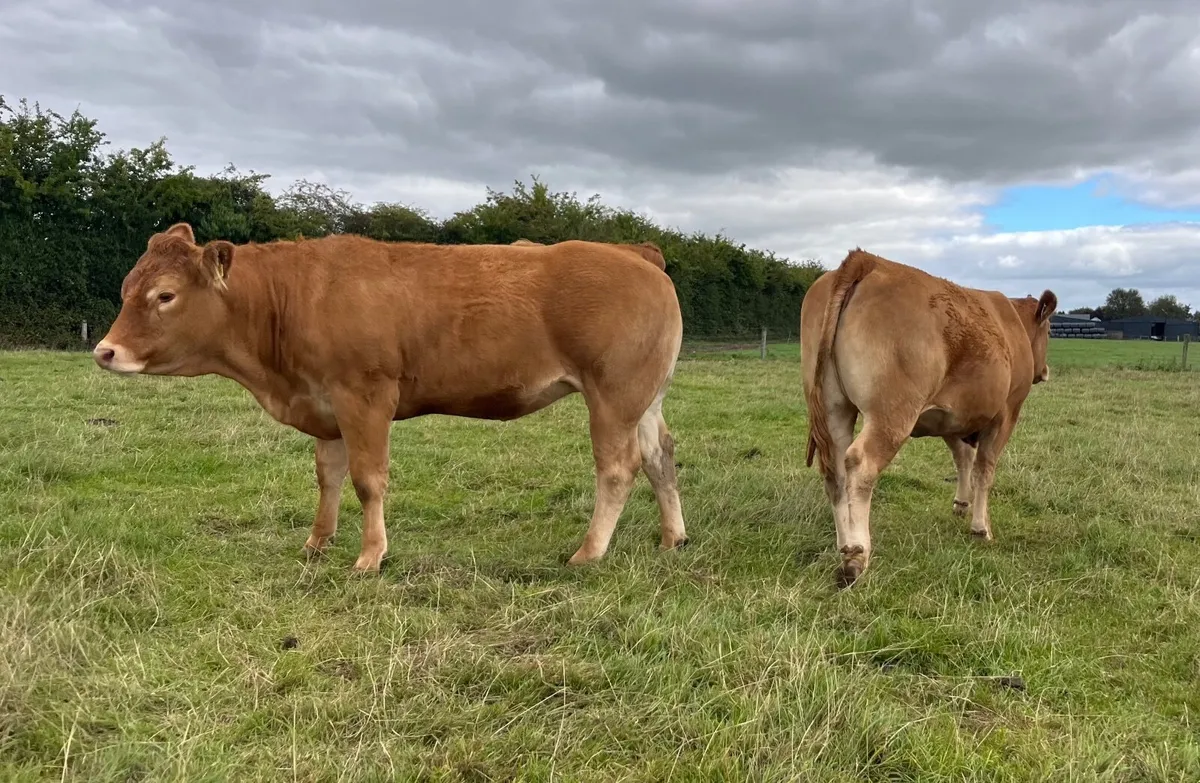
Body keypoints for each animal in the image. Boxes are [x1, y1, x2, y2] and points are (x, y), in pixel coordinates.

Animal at [92, 223, 689, 573]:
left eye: (165, 295)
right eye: (125, 288)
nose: (105, 351)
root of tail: (634, 253)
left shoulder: (365, 396)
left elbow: (367, 479)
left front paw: (369, 555)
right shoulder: (326, 406)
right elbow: (328, 476)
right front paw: (317, 542)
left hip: (613, 394)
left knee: (618, 467)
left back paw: (589, 551)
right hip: (645, 397)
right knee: (660, 457)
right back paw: (672, 538)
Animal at [801, 249, 1055, 587]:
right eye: (1050, 330)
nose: (1045, 370)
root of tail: (866, 260)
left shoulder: (951, 416)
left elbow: (963, 459)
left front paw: (962, 505)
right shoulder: (1006, 413)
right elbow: (984, 469)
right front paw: (981, 528)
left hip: (833, 408)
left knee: (835, 471)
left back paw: (843, 544)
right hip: (892, 414)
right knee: (861, 465)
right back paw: (856, 555)